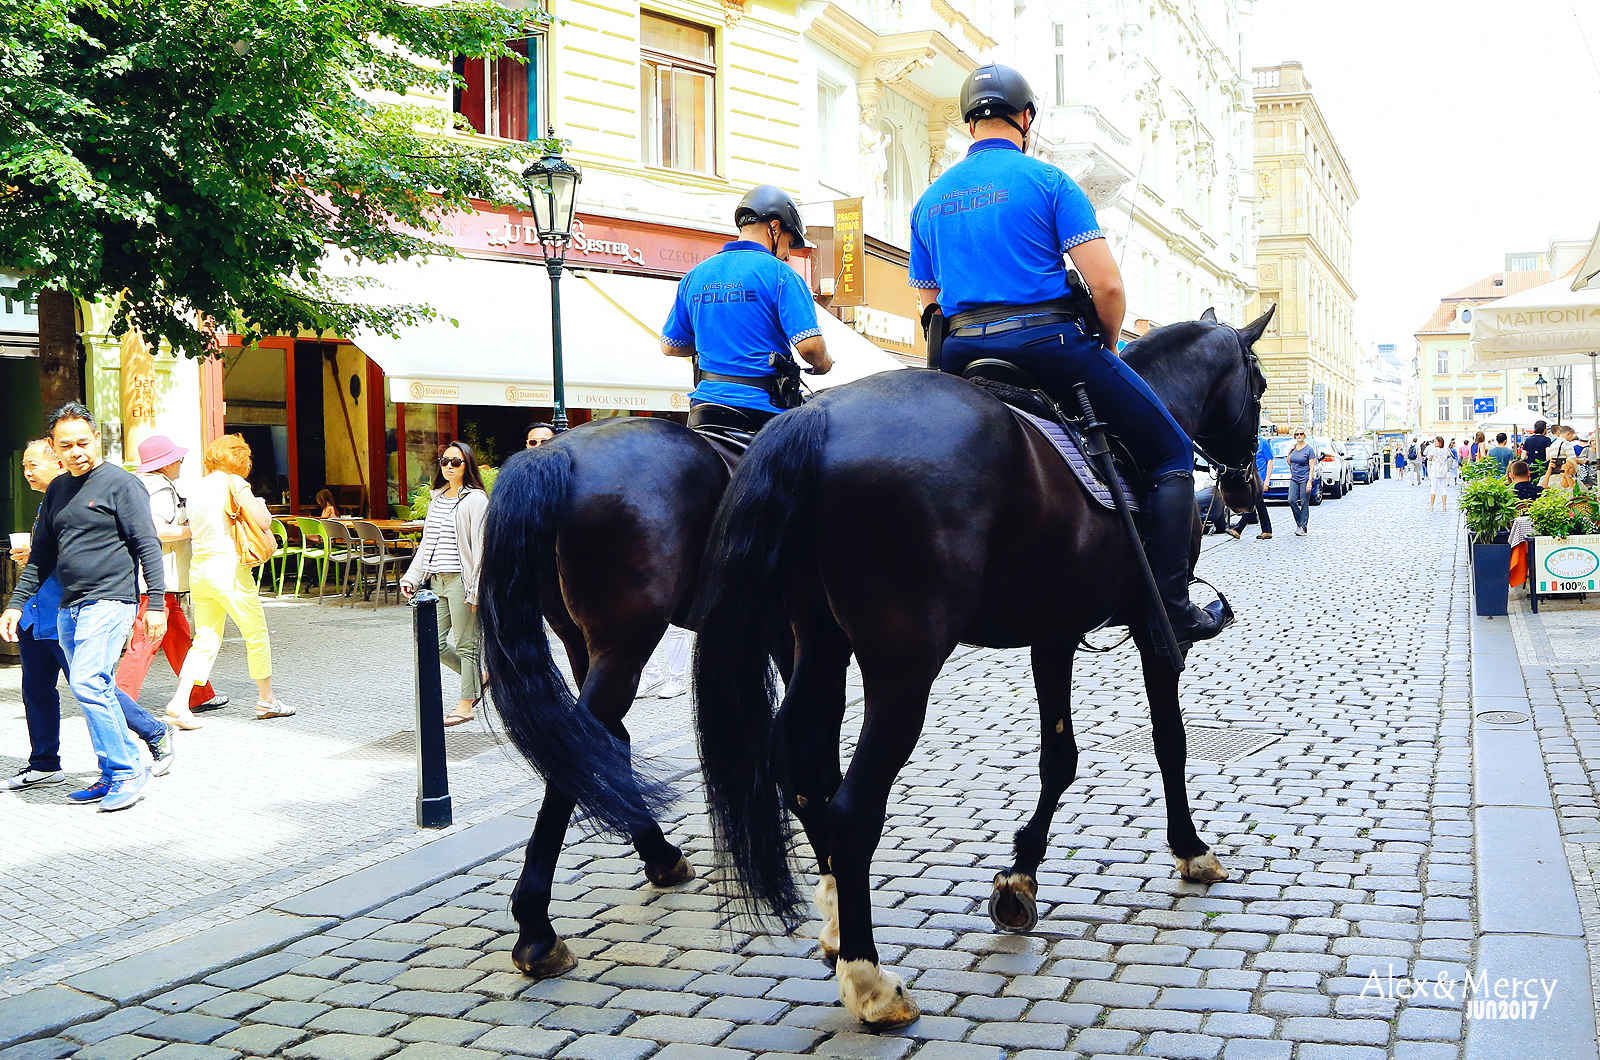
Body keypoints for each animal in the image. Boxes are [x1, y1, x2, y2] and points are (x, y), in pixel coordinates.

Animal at [473, 416, 726, 979]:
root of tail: (553, 454)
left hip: (580, 641)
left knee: (594, 742)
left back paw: (657, 853)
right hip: (624, 642)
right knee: (581, 747)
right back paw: (537, 931)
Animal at [694, 312, 1267, 1031]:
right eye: (1260, 386)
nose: (1244, 488)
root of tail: (814, 419)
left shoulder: (1054, 631)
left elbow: (1059, 759)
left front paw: (1020, 877)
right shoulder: (1155, 628)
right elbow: (1171, 741)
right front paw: (1190, 847)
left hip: (816, 641)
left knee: (798, 763)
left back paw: (834, 927)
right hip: (903, 666)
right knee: (853, 804)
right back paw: (870, 979)